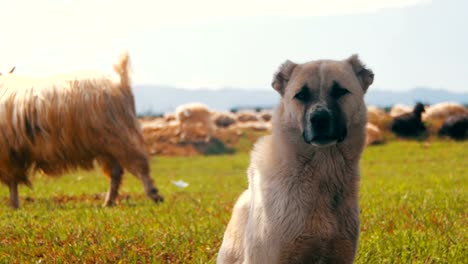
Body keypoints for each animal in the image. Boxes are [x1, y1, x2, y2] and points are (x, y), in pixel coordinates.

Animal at [0, 51, 165, 208]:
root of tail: (120, 83)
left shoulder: (8, 156)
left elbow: (12, 182)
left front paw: (14, 205)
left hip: (120, 136)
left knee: (139, 165)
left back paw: (154, 194)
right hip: (108, 144)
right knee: (116, 172)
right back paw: (108, 202)